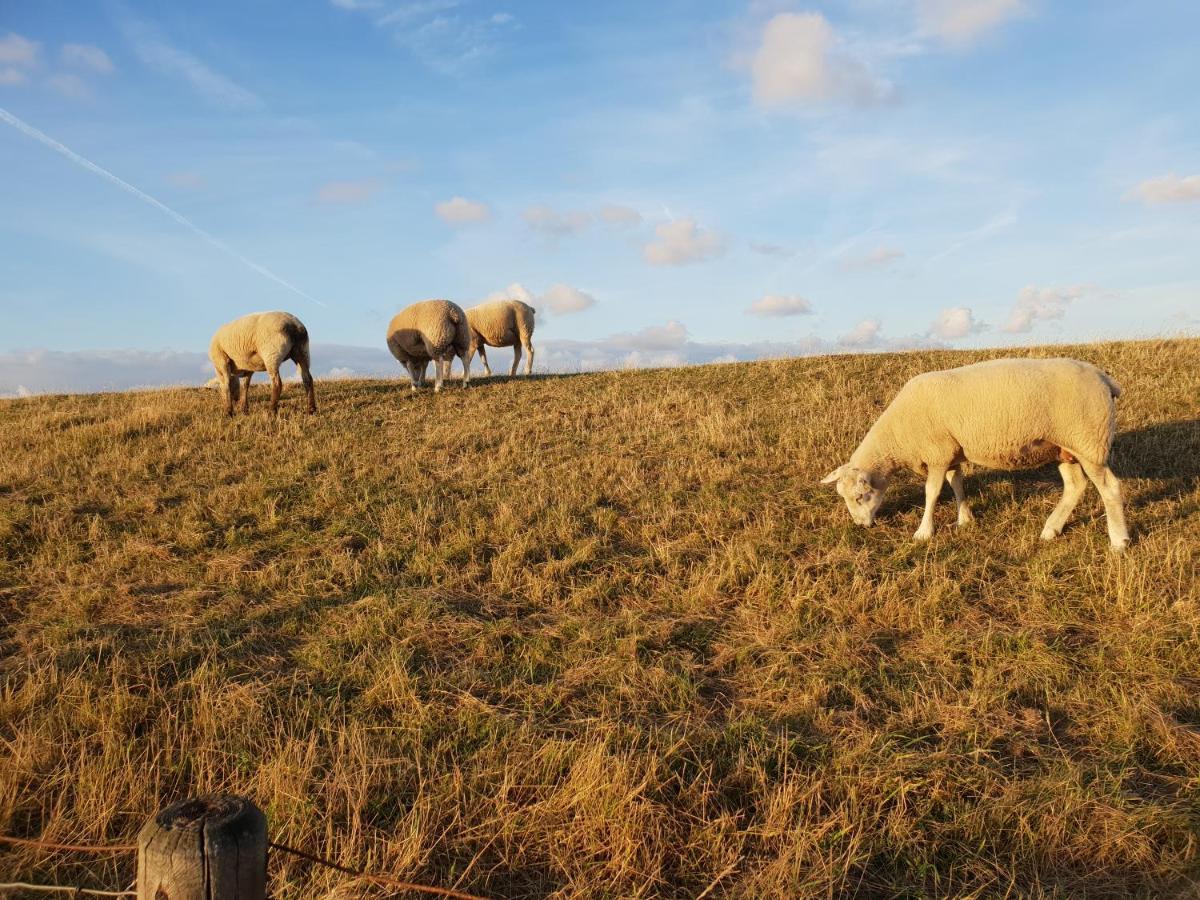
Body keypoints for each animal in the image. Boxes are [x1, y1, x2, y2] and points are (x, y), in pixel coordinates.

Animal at [820, 360, 1128, 549]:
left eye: (860, 496)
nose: (861, 525)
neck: (898, 437)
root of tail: (1104, 378)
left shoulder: (937, 453)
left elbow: (932, 492)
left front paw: (923, 532)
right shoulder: (950, 450)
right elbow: (956, 483)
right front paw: (965, 518)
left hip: (1089, 441)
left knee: (1110, 488)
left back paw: (1119, 541)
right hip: (1065, 448)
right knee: (1075, 486)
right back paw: (1051, 530)